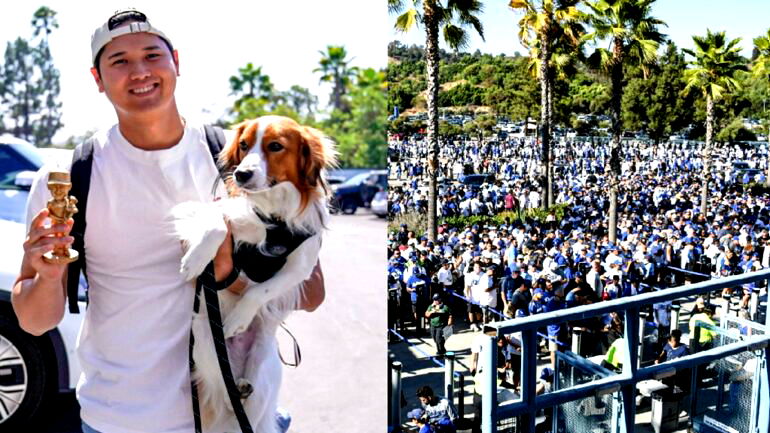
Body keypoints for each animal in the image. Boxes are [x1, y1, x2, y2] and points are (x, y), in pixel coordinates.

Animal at [172, 115, 334, 432]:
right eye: (244, 145)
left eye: (275, 146)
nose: (242, 175)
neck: (275, 214)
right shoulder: (220, 212)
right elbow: (216, 224)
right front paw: (195, 260)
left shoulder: (302, 265)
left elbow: (260, 291)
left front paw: (238, 319)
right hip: (203, 339)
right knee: (222, 385)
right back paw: (235, 388)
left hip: (262, 366)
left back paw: (243, 387)